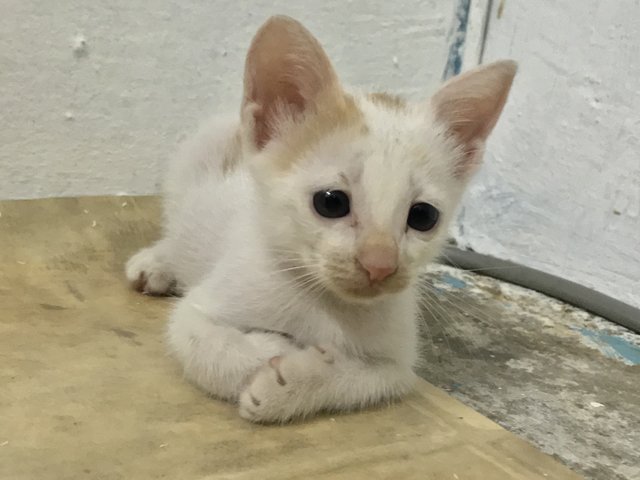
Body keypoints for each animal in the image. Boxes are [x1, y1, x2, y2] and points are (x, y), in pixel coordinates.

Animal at [126, 15, 520, 422]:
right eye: (331, 203)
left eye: (423, 216)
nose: (380, 265)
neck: (325, 302)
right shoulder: (200, 311)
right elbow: (204, 344)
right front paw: (273, 350)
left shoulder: (398, 365)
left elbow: (365, 379)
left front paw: (290, 384)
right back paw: (157, 262)